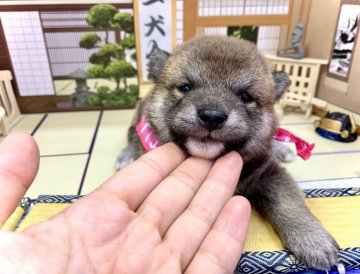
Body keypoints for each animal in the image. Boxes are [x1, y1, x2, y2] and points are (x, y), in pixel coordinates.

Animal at [114, 34, 338, 270]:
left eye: (245, 96)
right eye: (185, 87)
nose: (212, 116)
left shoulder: (268, 172)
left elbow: (288, 202)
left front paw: (313, 239)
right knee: (132, 134)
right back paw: (126, 156)